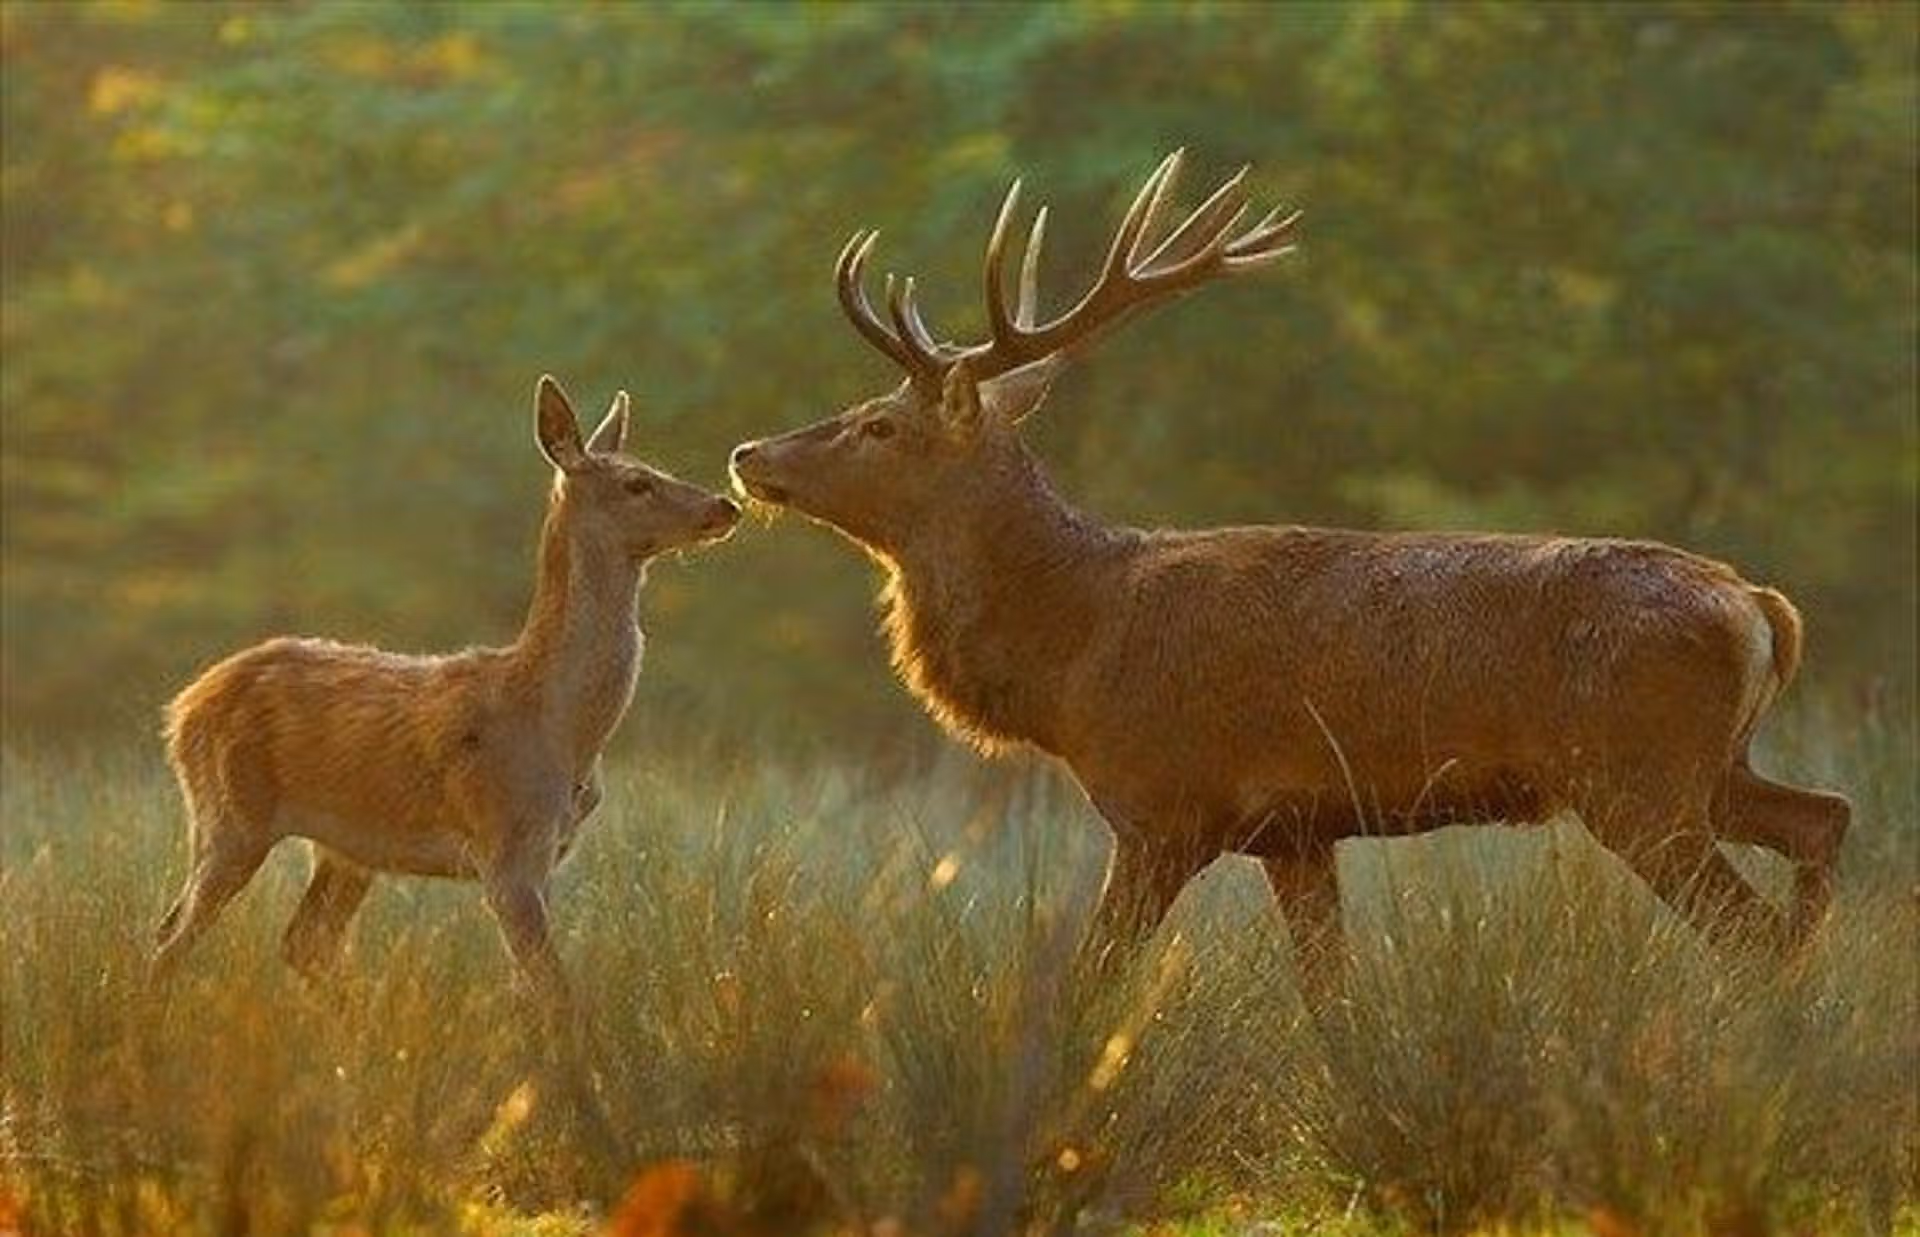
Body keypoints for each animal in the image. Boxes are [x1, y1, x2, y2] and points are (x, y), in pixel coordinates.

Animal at [154, 375, 741, 1005]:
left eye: (656, 467)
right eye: (637, 482)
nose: (725, 505)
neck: (558, 727)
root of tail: (182, 709)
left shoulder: (545, 857)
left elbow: (532, 991)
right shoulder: (507, 847)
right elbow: (558, 992)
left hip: (347, 845)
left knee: (301, 939)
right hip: (229, 812)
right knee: (172, 938)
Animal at [728, 150, 1852, 984]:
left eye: (877, 425)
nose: (749, 454)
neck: (1072, 651)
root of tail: (1760, 606)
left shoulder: (1163, 806)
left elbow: (1092, 980)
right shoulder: (1297, 832)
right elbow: (1331, 998)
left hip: (1636, 776)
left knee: (1750, 929)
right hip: (1706, 767)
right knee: (1823, 819)